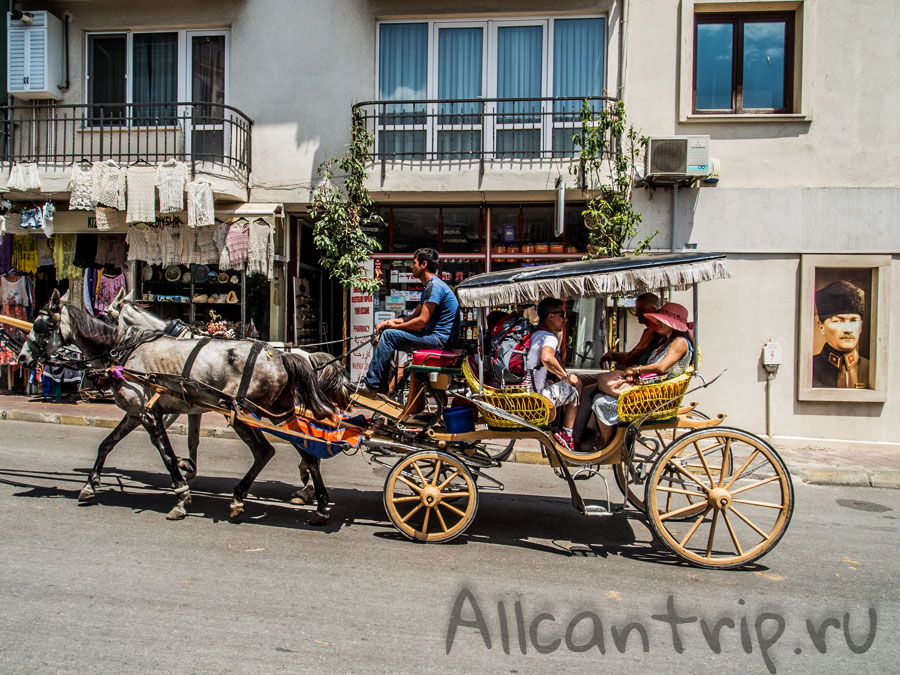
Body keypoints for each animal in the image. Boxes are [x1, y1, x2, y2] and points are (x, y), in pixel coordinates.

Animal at [20, 290, 352, 524]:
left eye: (42, 326)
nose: (23, 357)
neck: (128, 349)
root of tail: (286, 355)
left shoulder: (151, 412)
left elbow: (167, 451)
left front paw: (181, 492)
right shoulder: (143, 412)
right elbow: (107, 444)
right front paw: (90, 485)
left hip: (245, 413)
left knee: (268, 451)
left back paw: (253, 497)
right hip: (278, 413)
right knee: (305, 451)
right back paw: (314, 502)